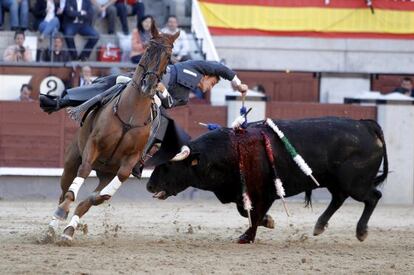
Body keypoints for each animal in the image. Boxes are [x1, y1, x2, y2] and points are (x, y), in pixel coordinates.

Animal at [43, 25, 180, 246]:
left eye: (168, 56)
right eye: (148, 49)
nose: (149, 85)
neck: (131, 113)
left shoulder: (131, 159)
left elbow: (113, 184)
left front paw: (100, 197)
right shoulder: (94, 145)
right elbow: (80, 178)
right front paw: (63, 211)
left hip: (106, 173)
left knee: (87, 201)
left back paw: (69, 231)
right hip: (72, 160)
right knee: (64, 191)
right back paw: (52, 227)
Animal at [148, 116, 388, 244]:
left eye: (168, 165)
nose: (149, 185)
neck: (230, 151)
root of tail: (365, 125)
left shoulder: (265, 193)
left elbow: (253, 215)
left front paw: (247, 237)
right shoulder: (242, 193)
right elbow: (245, 211)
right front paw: (268, 222)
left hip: (355, 183)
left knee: (373, 197)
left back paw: (361, 231)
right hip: (335, 182)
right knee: (339, 198)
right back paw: (319, 226)